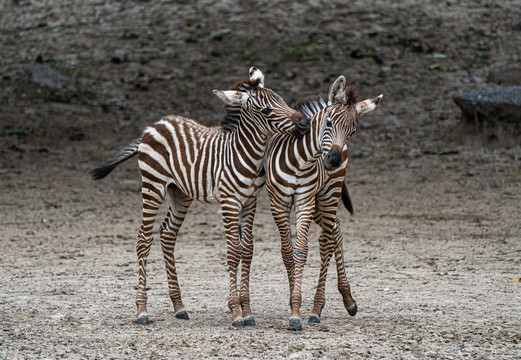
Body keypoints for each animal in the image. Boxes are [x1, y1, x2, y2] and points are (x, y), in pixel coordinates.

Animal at [90, 67, 308, 326]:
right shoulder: (229, 201)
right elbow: (233, 252)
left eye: (282, 100)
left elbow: (247, 251)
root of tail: (155, 125)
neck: (246, 154)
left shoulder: (250, 202)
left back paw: (179, 307)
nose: (305, 122)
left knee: (167, 234)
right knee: (143, 239)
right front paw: (236, 313)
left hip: (180, 192)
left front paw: (248, 312)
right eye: (266, 110)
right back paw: (142, 311)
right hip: (153, 185)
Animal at [264, 76, 382, 332]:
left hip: (328, 194)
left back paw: (320, 308)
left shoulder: (305, 201)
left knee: (327, 240)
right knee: (335, 229)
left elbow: (300, 251)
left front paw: (296, 311)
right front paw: (292, 302)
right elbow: (287, 252)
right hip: (319, 204)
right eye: (328, 123)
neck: (299, 160)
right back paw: (343, 300)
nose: (333, 161)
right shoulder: (278, 202)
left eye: (352, 132)